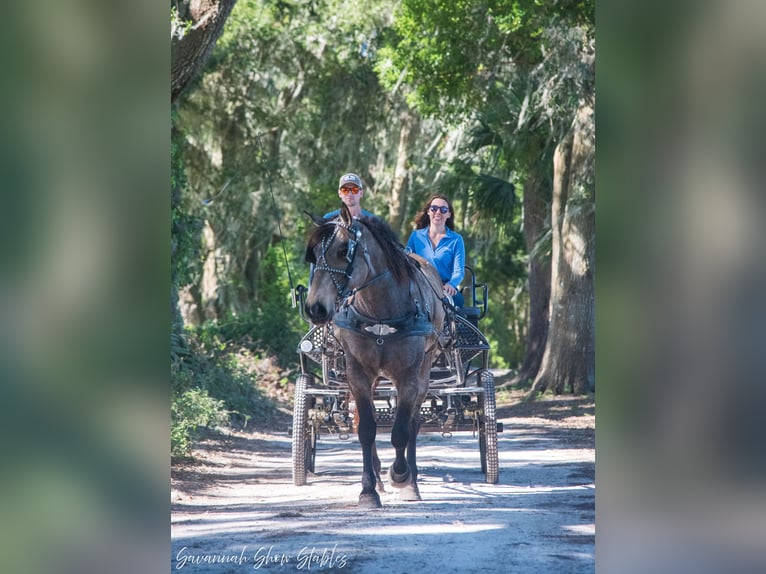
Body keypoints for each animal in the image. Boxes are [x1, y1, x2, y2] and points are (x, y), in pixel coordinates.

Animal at [304, 206, 448, 508]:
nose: (314, 308)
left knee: (413, 422)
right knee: (364, 420)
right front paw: (368, 490)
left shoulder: (408, 376)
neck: (380, 312)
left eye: (343, 250)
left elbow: (401, 431)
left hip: (424, 371)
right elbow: (366, 429)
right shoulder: (358, 374)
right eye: (314, 254)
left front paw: (401, 475)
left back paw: (411, 482)